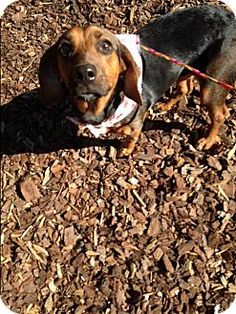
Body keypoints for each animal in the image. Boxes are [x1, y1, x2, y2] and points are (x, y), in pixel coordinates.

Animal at [39, 4, 235, 157]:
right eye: (64, 49)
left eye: (106, 46)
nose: (84, 73)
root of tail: (230, 17)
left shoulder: (135, 126)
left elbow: (131, 137)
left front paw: (126, 150)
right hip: (186, 69)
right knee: (187, 89)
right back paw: (165, 105)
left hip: (210, 86)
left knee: (220, 114)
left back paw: (207, 140)